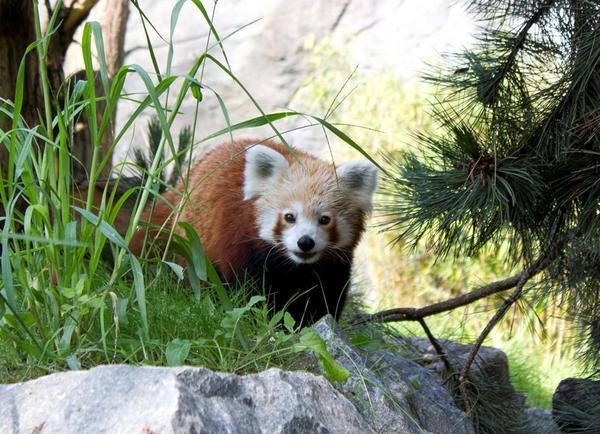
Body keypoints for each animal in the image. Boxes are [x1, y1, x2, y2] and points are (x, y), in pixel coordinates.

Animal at [129, 137, 378, 324]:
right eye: (289, 217)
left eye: (324, 219)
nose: (305, 242)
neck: (297, 267)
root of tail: (183, 185)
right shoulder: (243, 246)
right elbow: (250, 294)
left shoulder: (333, 267)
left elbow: (325, 298)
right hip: (194, 244)